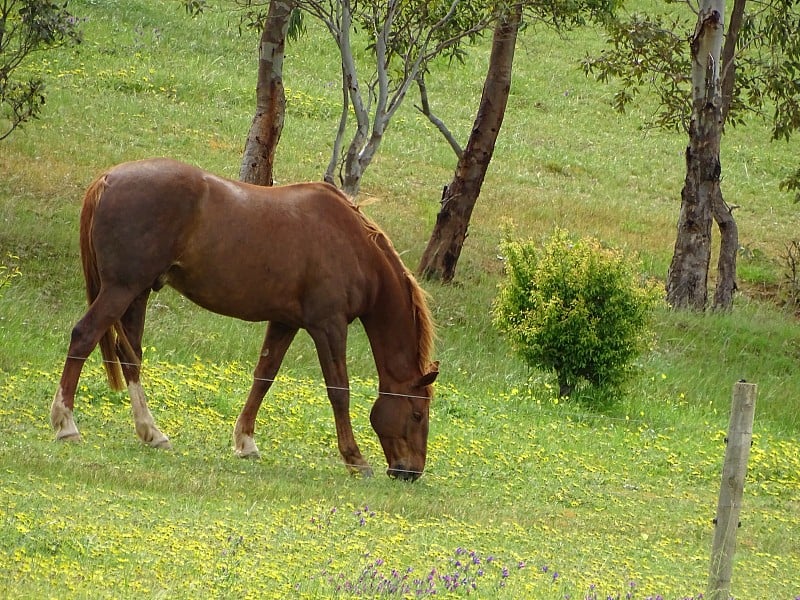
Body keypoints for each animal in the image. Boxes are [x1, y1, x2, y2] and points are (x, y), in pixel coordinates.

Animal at [51, 157, 438, 480]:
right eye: (417, 414)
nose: (410, 472)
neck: (351, 243)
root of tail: (107, 178)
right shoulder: (328, 325)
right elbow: (339, 390)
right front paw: (355, 459)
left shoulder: (286, 322)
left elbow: (264, 376)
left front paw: (246, 442)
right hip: (121, 289)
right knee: (84, 336)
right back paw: (66, 424)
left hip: (137, 293)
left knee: (130, 355)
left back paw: (151, 432)